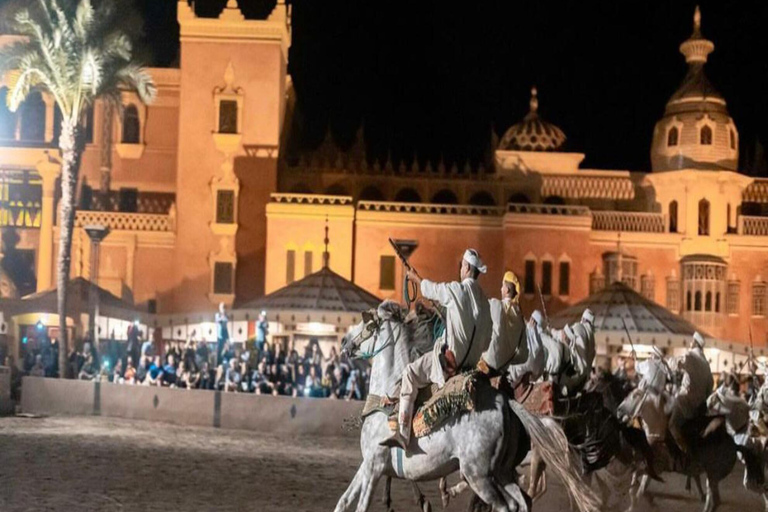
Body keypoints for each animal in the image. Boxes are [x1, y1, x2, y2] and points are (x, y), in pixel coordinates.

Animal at [336, 302, 600, 512]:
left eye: (367, 324)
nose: (345, 342)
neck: (386, 396)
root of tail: (506, 403)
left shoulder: (375, 466)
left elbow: (361, 506)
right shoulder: (367, 464)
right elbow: (344, 501)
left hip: (480, 474)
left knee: (506, 505)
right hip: (502, 473)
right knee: (522, 502)